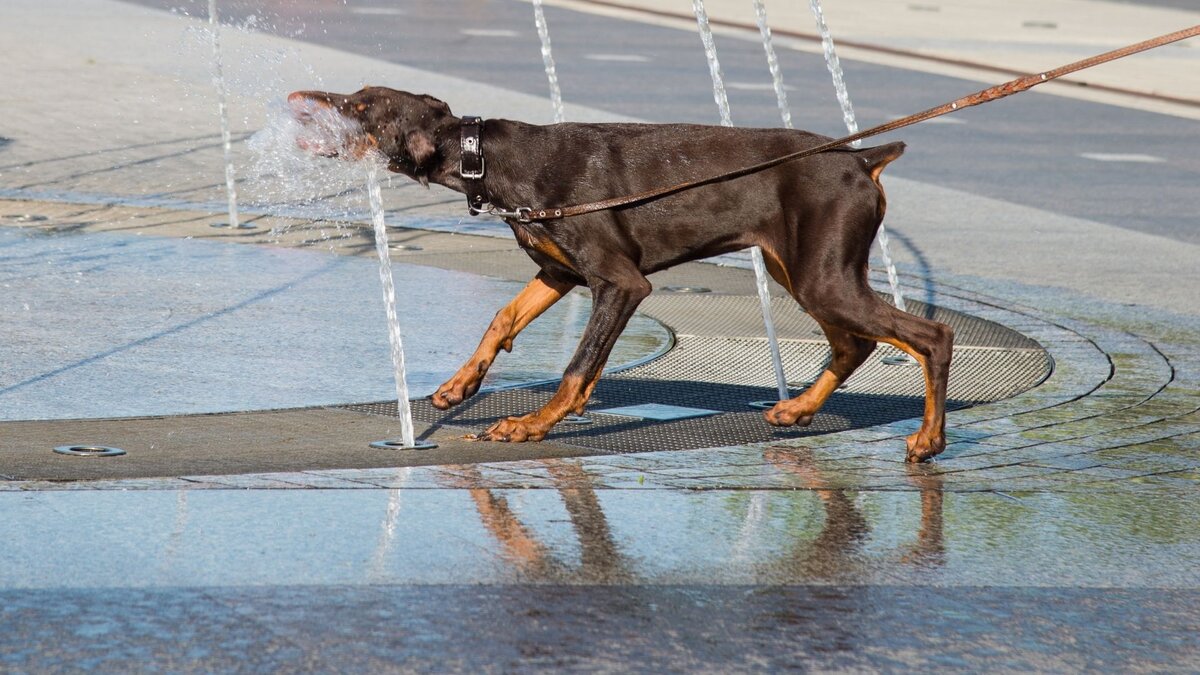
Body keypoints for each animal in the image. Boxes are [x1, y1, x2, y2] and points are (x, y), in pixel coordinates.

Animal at [285, 86, 950, 458]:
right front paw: (458, 387)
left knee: (928, 336)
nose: (299, 98)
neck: (487, 158)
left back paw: (927, 441)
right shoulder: (560, 274)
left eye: (359, 105)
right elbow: (502, 318)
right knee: (853, 343)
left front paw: (530, 425)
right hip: (797, 268)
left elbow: (578, 367)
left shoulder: (621, 282)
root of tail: (862, 159)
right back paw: (797, 411)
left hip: (822, 276)